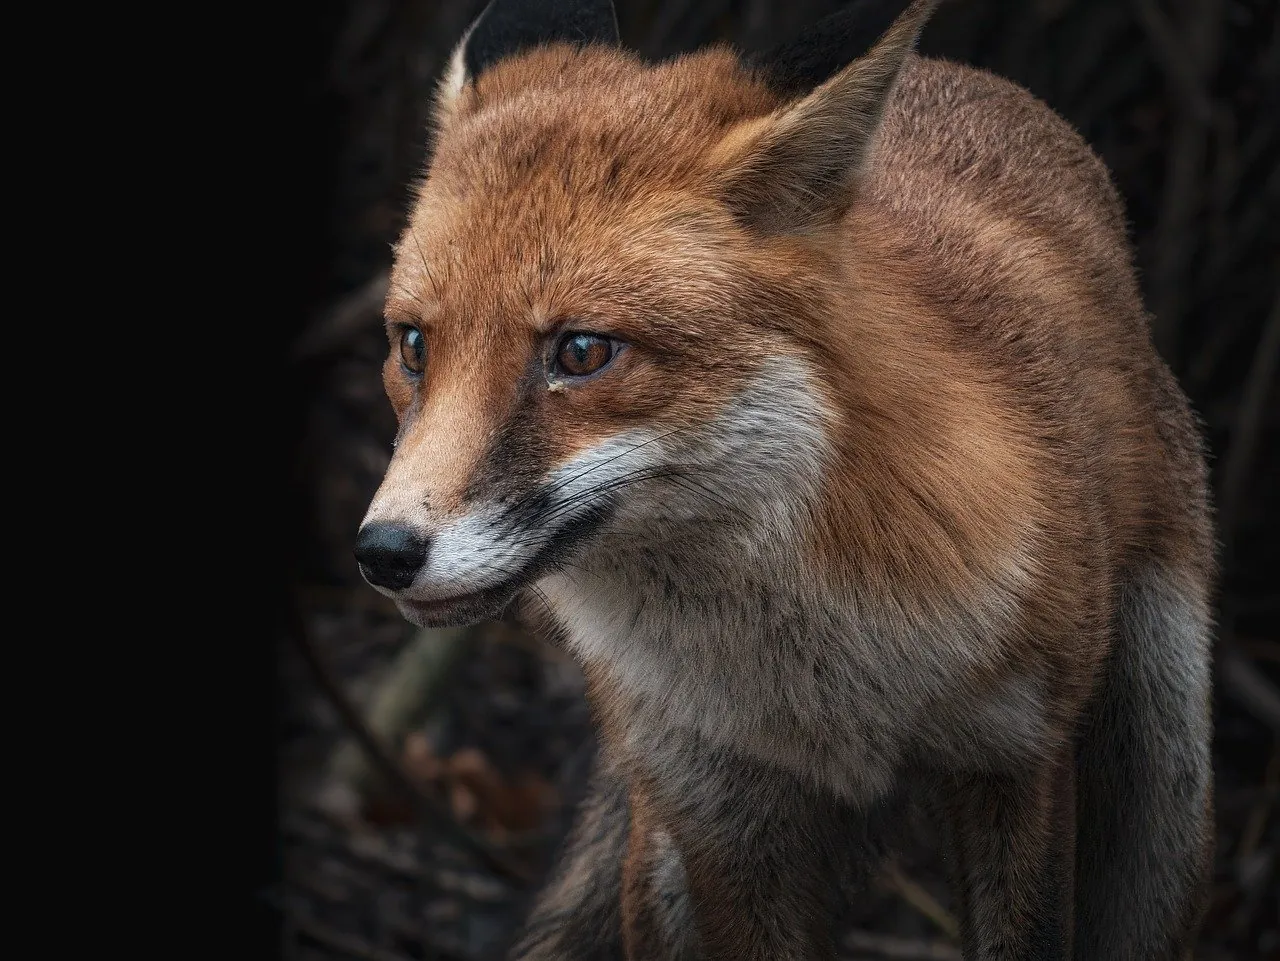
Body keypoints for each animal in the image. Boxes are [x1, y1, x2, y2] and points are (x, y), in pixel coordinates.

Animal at [352, 0, 1217, 958]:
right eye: (413, 345)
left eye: (580, 352)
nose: (384, 552)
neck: (823, 679)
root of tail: (969, 79)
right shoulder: (724, 808)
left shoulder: (1021, 756)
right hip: (663, 851)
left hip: (1162, 787)